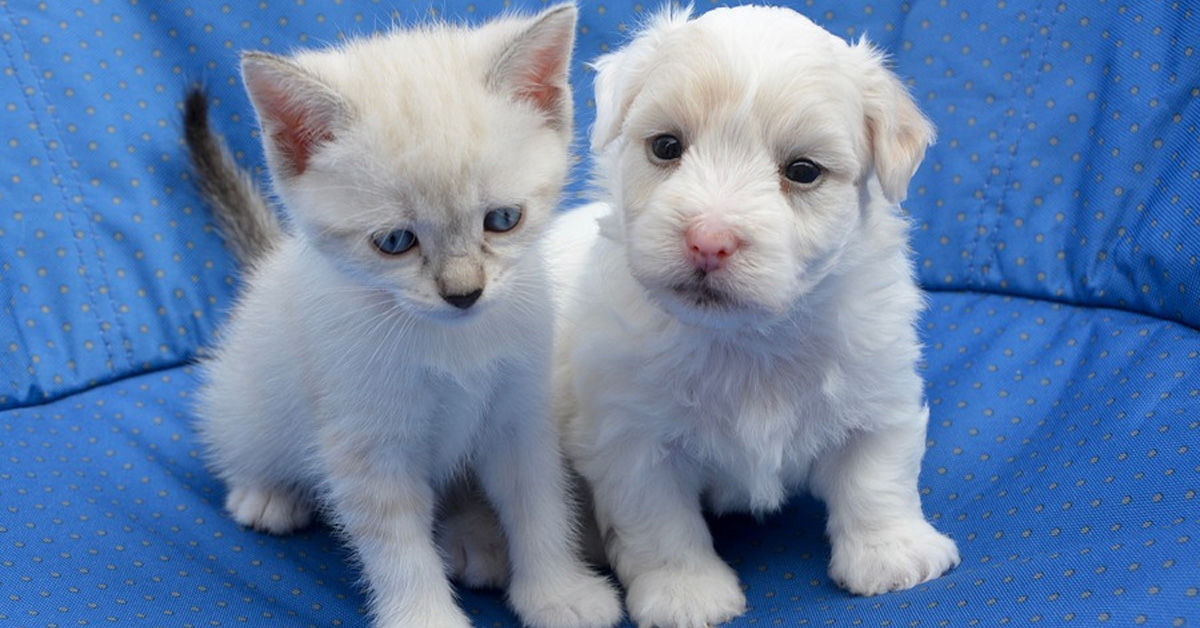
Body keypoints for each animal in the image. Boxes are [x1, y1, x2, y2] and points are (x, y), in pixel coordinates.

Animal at [188, 4, 624, 628]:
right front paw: (426, 615)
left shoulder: (521, 412)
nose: (464, 293)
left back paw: (475, 539)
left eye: (503, 219)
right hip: (249, 397)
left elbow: (539, 504)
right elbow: (399, 549)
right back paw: (268, 493)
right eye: (395, 242)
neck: (451, 344)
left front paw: (557, 591)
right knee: (239, 435)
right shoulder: (367, 445)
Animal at [549, 6, 960, 628]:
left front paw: (892, 554)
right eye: (666, 146)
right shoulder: (630, 436)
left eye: (804, 170)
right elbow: (659, 522)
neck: (747, 339)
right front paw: (686, 594)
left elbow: (877, 475)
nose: (708, 240)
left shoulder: (877, 386)